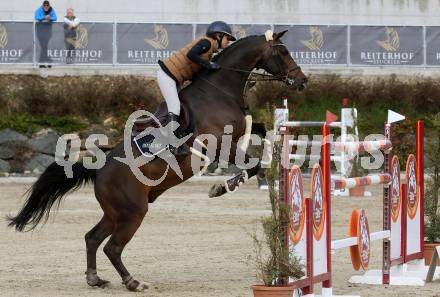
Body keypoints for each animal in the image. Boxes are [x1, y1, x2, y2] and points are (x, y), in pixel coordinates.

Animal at [6, 30, 306, 292]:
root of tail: (99, 169)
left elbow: (260, 139)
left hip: (116, 212)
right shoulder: (220, 143)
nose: (302, 81)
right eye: (283, 51)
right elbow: (251, 165)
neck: (219, 89)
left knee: (92, 238)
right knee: (112, 247)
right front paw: (221, 187)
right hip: (133, 211)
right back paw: (133, 282)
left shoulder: (240, 133)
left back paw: (95, 279)